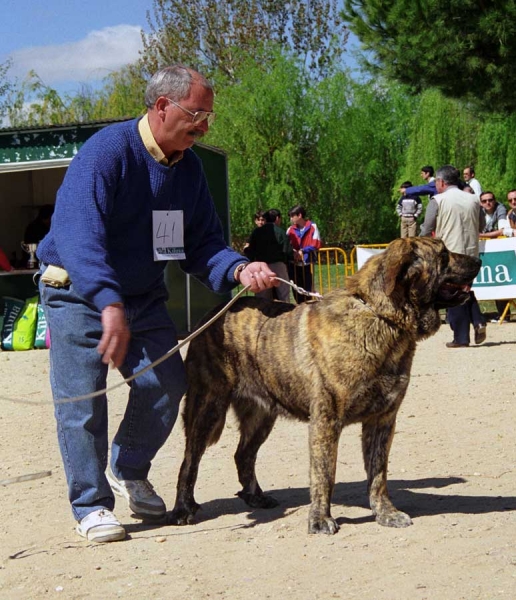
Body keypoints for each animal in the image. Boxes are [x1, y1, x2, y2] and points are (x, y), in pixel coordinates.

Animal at [169, 237, 480, 532]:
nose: (478, 259)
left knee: (243, 455)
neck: (381, 317)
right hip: (207, 407)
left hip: (261, 414)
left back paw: (255, 497)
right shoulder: (326, 420)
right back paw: (183, 508)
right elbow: (325, 474)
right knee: (189, 460)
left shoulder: (383, 420)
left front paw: (385, 513)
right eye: (443, 255)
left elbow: (378, 475)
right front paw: (320, 519)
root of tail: (210, 317)